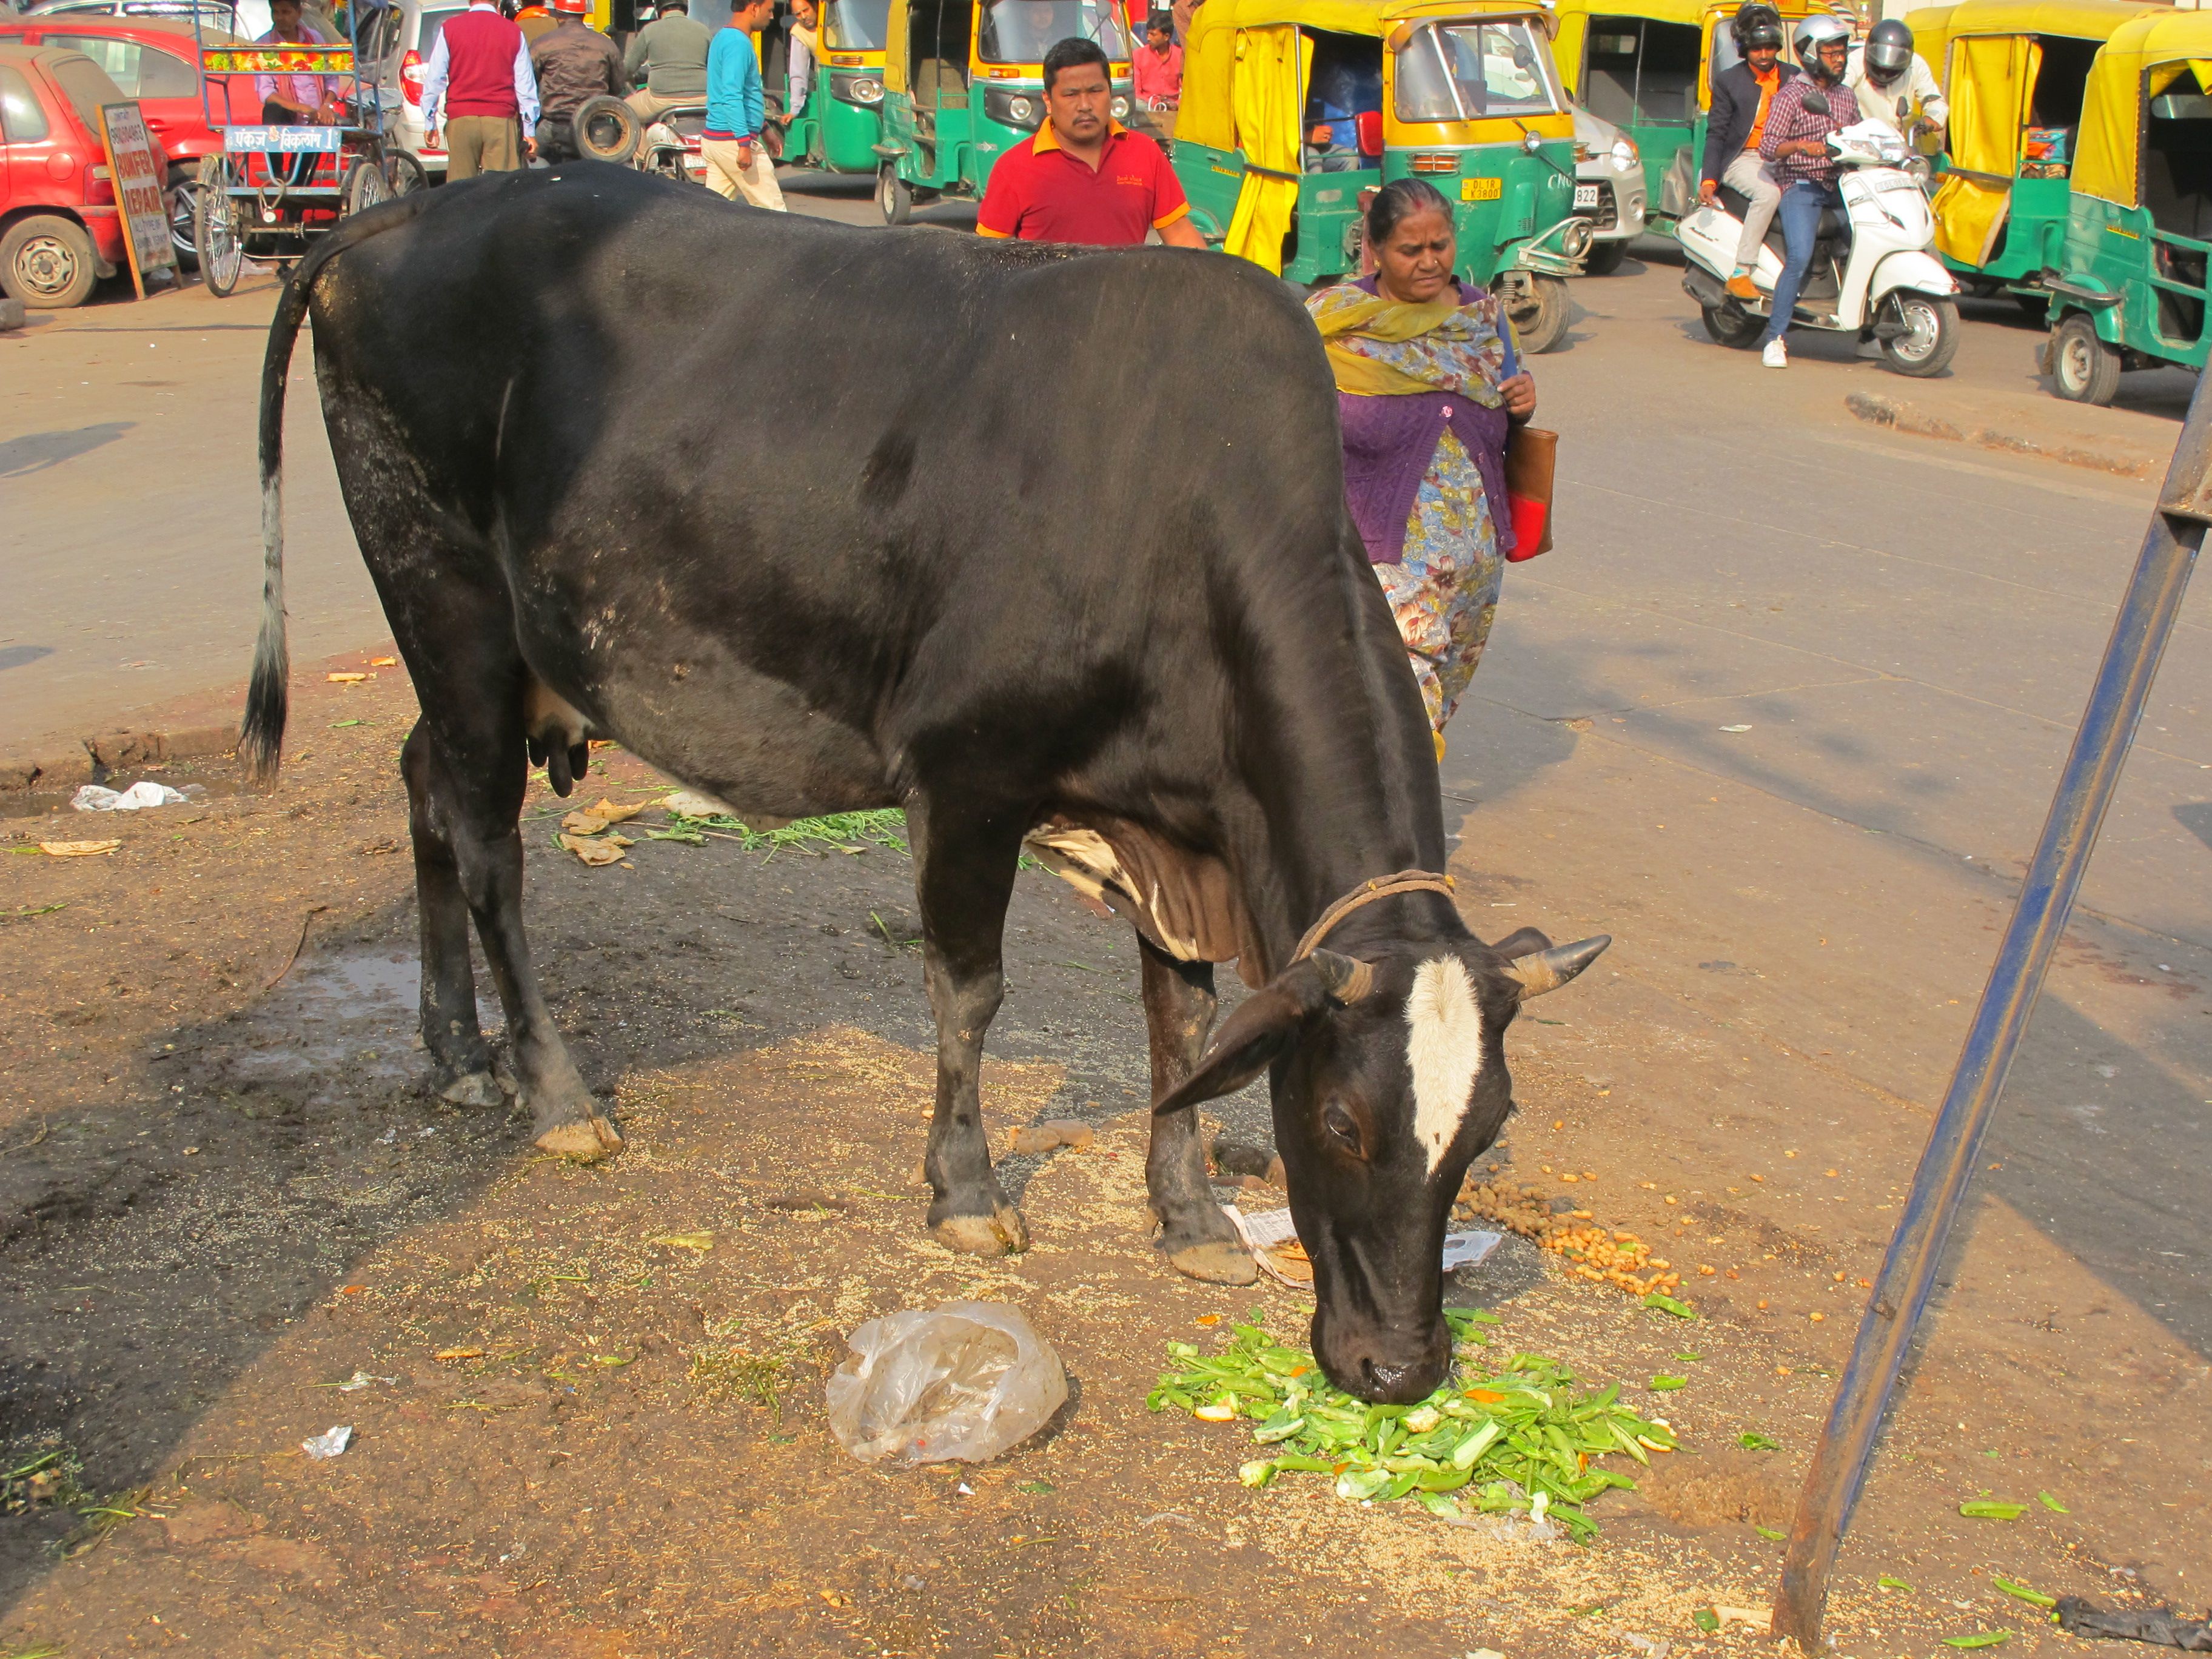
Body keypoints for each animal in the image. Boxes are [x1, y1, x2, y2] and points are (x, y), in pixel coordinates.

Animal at [239, 165, 1607, 1403]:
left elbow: (1182, 1023)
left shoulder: (1177, 835)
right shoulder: (965, 776)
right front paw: (966, 1193)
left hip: (474, 655)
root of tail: (402, 210)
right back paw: (555, 1091)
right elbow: (971, 994)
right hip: (445, 597)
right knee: (486, 843)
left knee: (424, 782)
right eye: (1338, 1124)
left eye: (1488, 1130)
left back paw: (454, 1047)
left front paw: (1191, 1220)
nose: (1400, 1368)